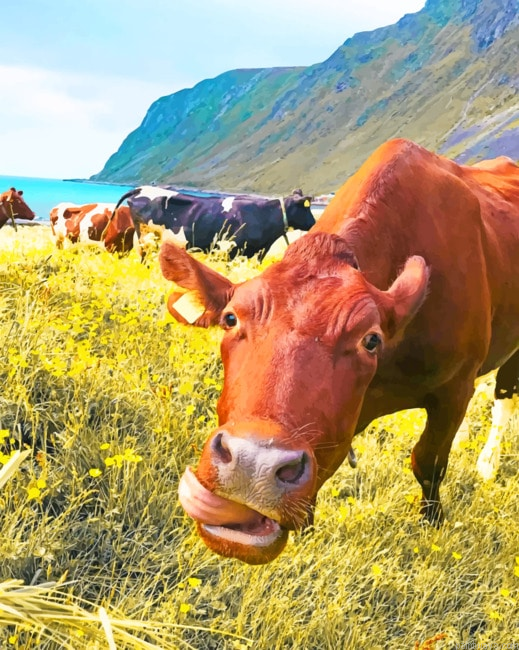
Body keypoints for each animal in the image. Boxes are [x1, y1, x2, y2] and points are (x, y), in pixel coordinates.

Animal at [158, 138, 519, 565]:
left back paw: (487, 464)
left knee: (504, 396)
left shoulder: (454, 387)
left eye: (371, 339)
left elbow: (429, 461)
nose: (253, 465)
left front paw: (433, 524)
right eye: (230, 318)